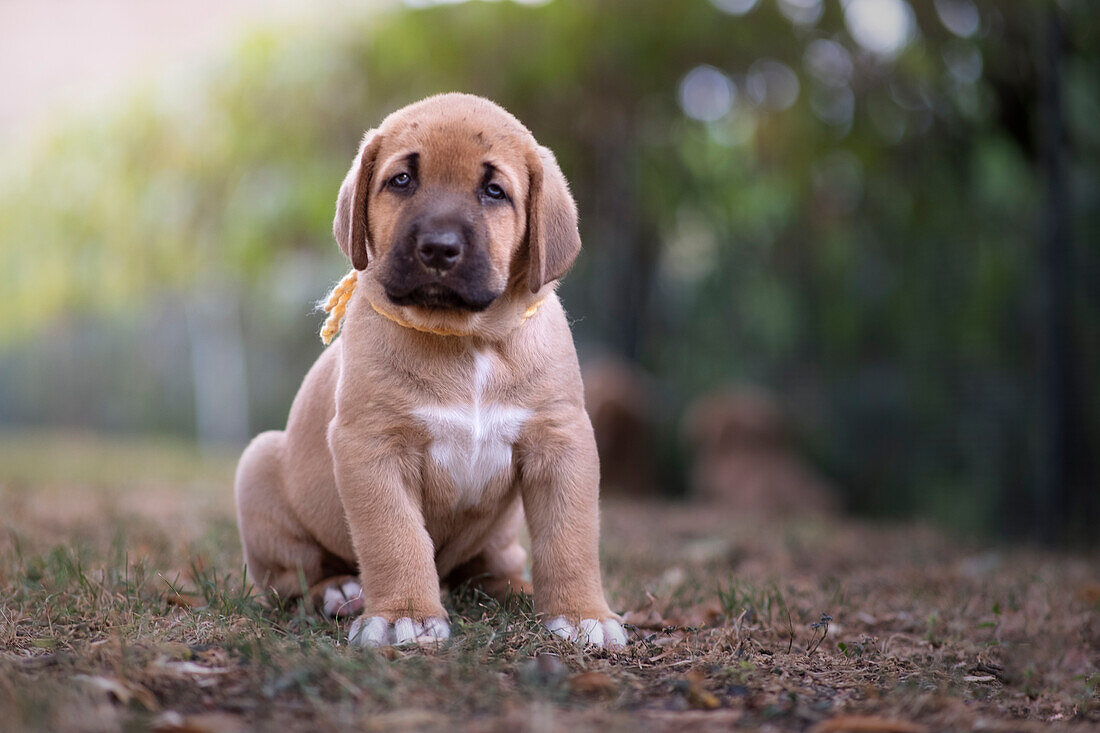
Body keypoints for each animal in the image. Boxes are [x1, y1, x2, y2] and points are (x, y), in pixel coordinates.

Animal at [232, 91, 629, 647]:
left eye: (494, 191)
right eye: (402, 180)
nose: (439, 248)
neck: (467, 339)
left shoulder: (561, 441)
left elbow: (569, 536)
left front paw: (580, 613)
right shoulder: (372, 445)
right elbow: (395, 536)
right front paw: (405, 615)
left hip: (500, 532)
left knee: (492, 566)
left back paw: (514, 589)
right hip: (259, 467)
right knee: (298, 576)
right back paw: (341, 591)